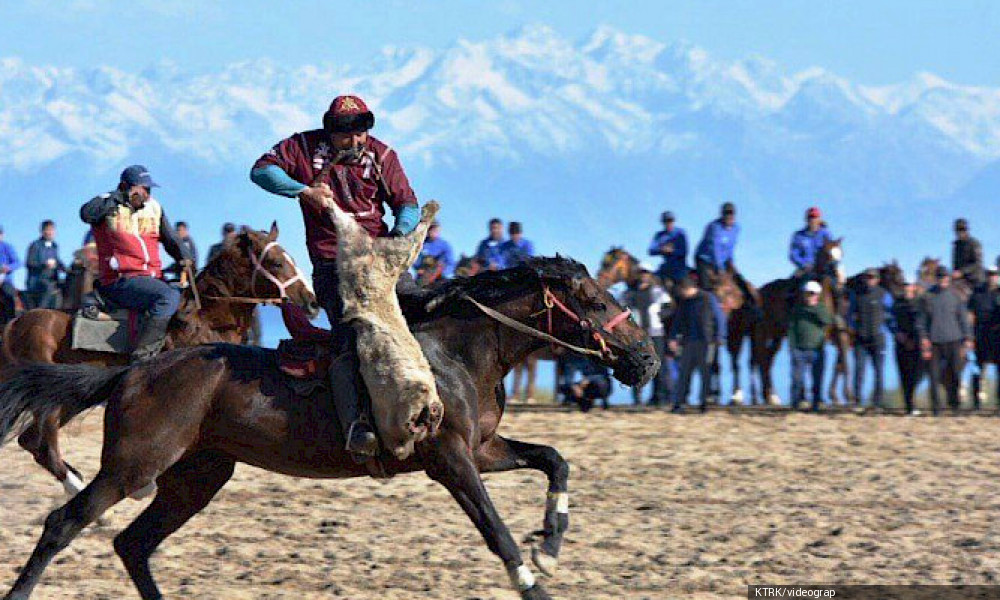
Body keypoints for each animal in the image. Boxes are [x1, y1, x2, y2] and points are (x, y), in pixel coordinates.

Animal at [0, 223, 320, 494]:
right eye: (276, 262)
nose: (311, 300)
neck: (206, 319)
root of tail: (14, 325)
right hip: (50, 398)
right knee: (43, 444)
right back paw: (78, 487)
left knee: (31, 440)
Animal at [0, 258, 660, 600]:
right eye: (597, 303)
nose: (648, 360)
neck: (455, 355)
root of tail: (136, 370)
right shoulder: (450, 460)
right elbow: (496, 531)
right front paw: (533, 574)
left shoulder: (484, 449)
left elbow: (553, 458)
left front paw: (549, 546)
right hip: (134, 465)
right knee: (64, 522)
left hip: (197, 476)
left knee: (133, 545)